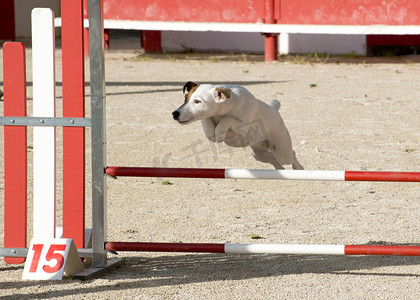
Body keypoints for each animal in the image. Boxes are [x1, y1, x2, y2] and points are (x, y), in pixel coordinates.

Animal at [172, 81, 304, 170]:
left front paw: (219, 133)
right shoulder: (209, 118)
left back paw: (298, 168)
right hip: (258, 153)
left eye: (197, 101)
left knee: (291, 155)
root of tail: (274, 108)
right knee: (272, 158)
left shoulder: (243, 126)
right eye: (185, 98)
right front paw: (211, 133)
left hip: (282, 151)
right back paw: (279, 169)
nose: (174, 114)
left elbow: (228, 119)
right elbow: (207, 120)